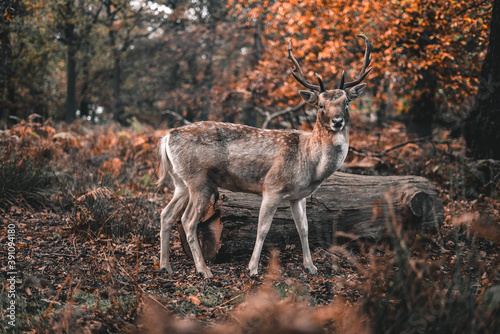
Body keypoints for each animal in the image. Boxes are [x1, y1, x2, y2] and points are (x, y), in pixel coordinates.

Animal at [156, 34, 372, 280]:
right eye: (320, 105)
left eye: (346, 102)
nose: (337, 121)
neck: (310, 163)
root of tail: (166, 137)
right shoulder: (272, 186)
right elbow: (263, 228)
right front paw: (252, 268)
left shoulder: (298, 196)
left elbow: (304, 228)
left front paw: (311, 267)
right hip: (199, 180)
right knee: (188, 220)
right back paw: (204, 270)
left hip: (180, 182)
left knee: (166, 214)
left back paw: (165, 266)